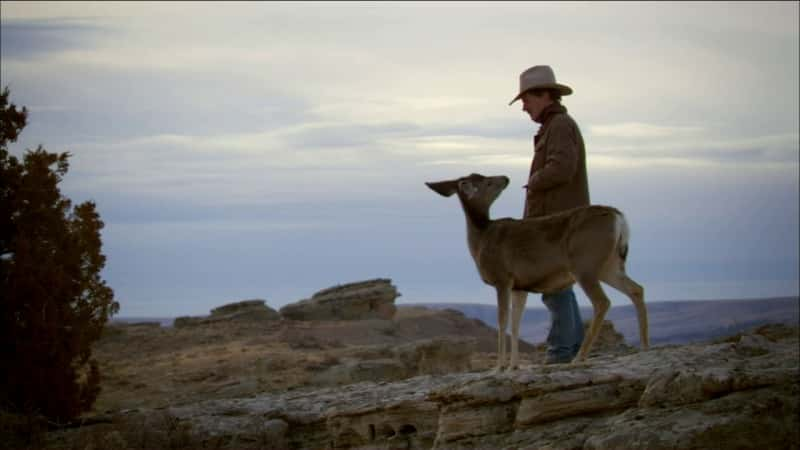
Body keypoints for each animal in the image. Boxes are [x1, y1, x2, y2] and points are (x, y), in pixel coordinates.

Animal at [428, 172, 648, 370]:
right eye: (486, 181)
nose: (505, 178)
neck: (481, 240)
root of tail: (618, 217)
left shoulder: (502, 278)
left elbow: (503, 321)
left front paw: (499, 366)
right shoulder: (520, 286)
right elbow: (515, 323)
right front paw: (514, 366)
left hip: (584, 263)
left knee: (602, 301)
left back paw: (579, 358)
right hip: (609, 265)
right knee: (636, 289)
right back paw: (645, 345)